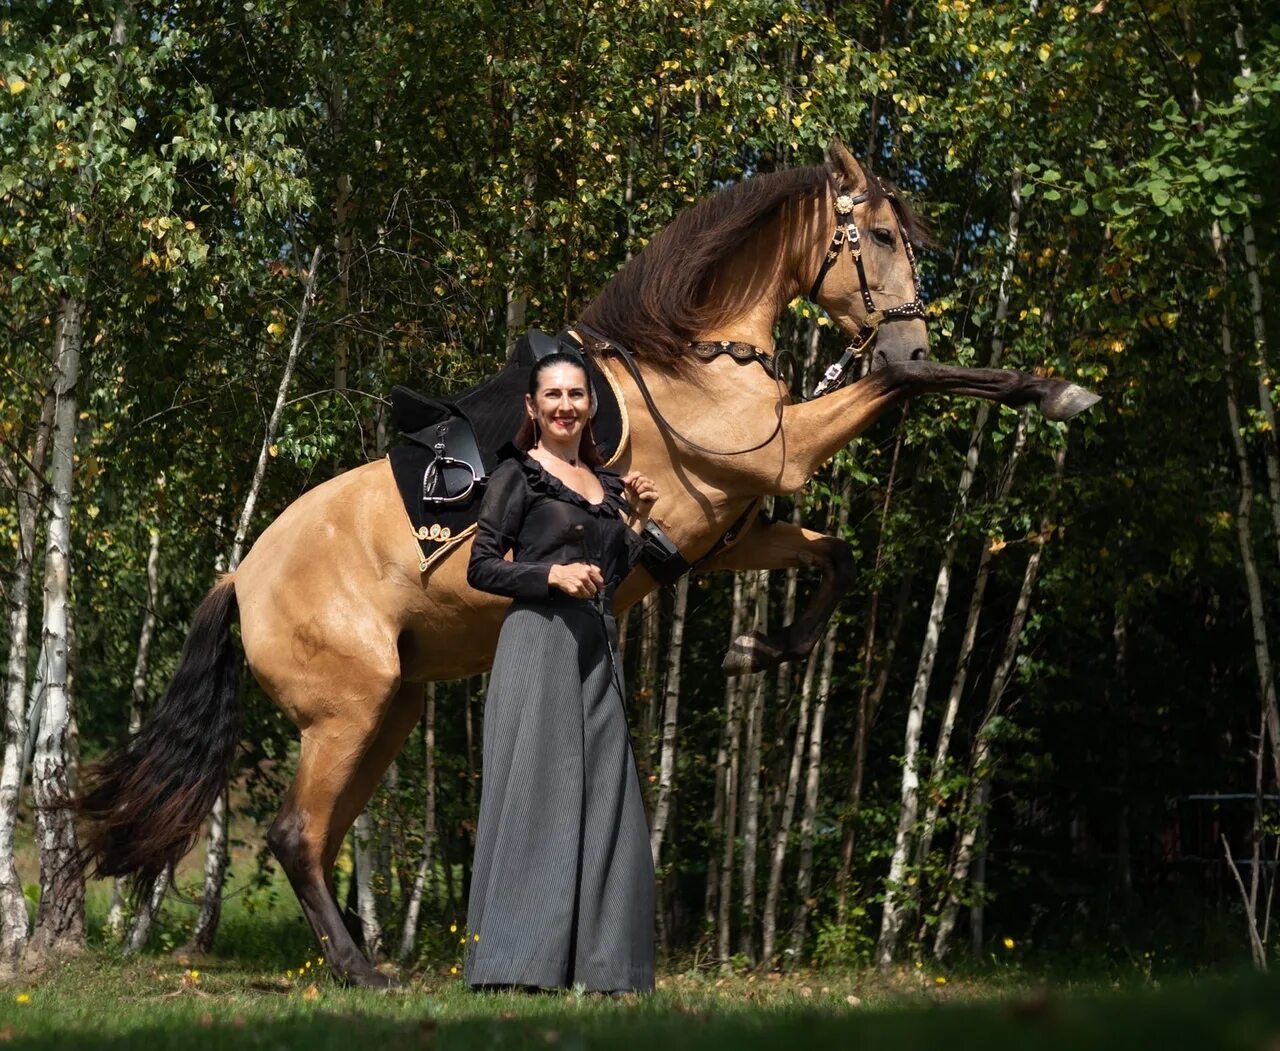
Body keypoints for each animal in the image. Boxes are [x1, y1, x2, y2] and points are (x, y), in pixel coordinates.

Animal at [80, 139, 1100, 983]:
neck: (693, 358)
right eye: (881, 234)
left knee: (321, 839)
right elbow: (908, 388)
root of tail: (241, 576)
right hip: (349, 710)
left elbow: (838, 557)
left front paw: (757, 652)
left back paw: (357, 963)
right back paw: (364, 971)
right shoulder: (784, 454)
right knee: (297, 834)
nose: (908, 330)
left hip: (388, 710)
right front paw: (1054, 390)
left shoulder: (728, 534)